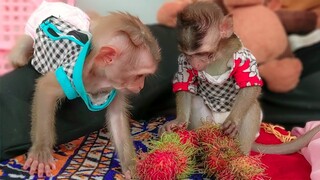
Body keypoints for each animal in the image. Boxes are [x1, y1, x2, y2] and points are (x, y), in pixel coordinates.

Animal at [8, 1, 160, 179]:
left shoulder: (115, 88)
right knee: (20, 55)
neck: (100, 78)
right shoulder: (70, 75)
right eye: (139, 76)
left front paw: (132, 166)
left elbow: (117, 118)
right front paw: (41, 152)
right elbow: (46, 89)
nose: (141, 86)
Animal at [160, 1, 320, 155]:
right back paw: (203, 142)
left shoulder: (243, 56)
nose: (195, 64)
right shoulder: (183, 61)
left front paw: (233, 120)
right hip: (210, 123)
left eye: (203, 53)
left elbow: (249, 84)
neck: (217, 54)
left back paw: (239, 155)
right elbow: (185, 85)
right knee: (196, 101)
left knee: (251, 108)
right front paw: (178, 120)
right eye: (188, 55)